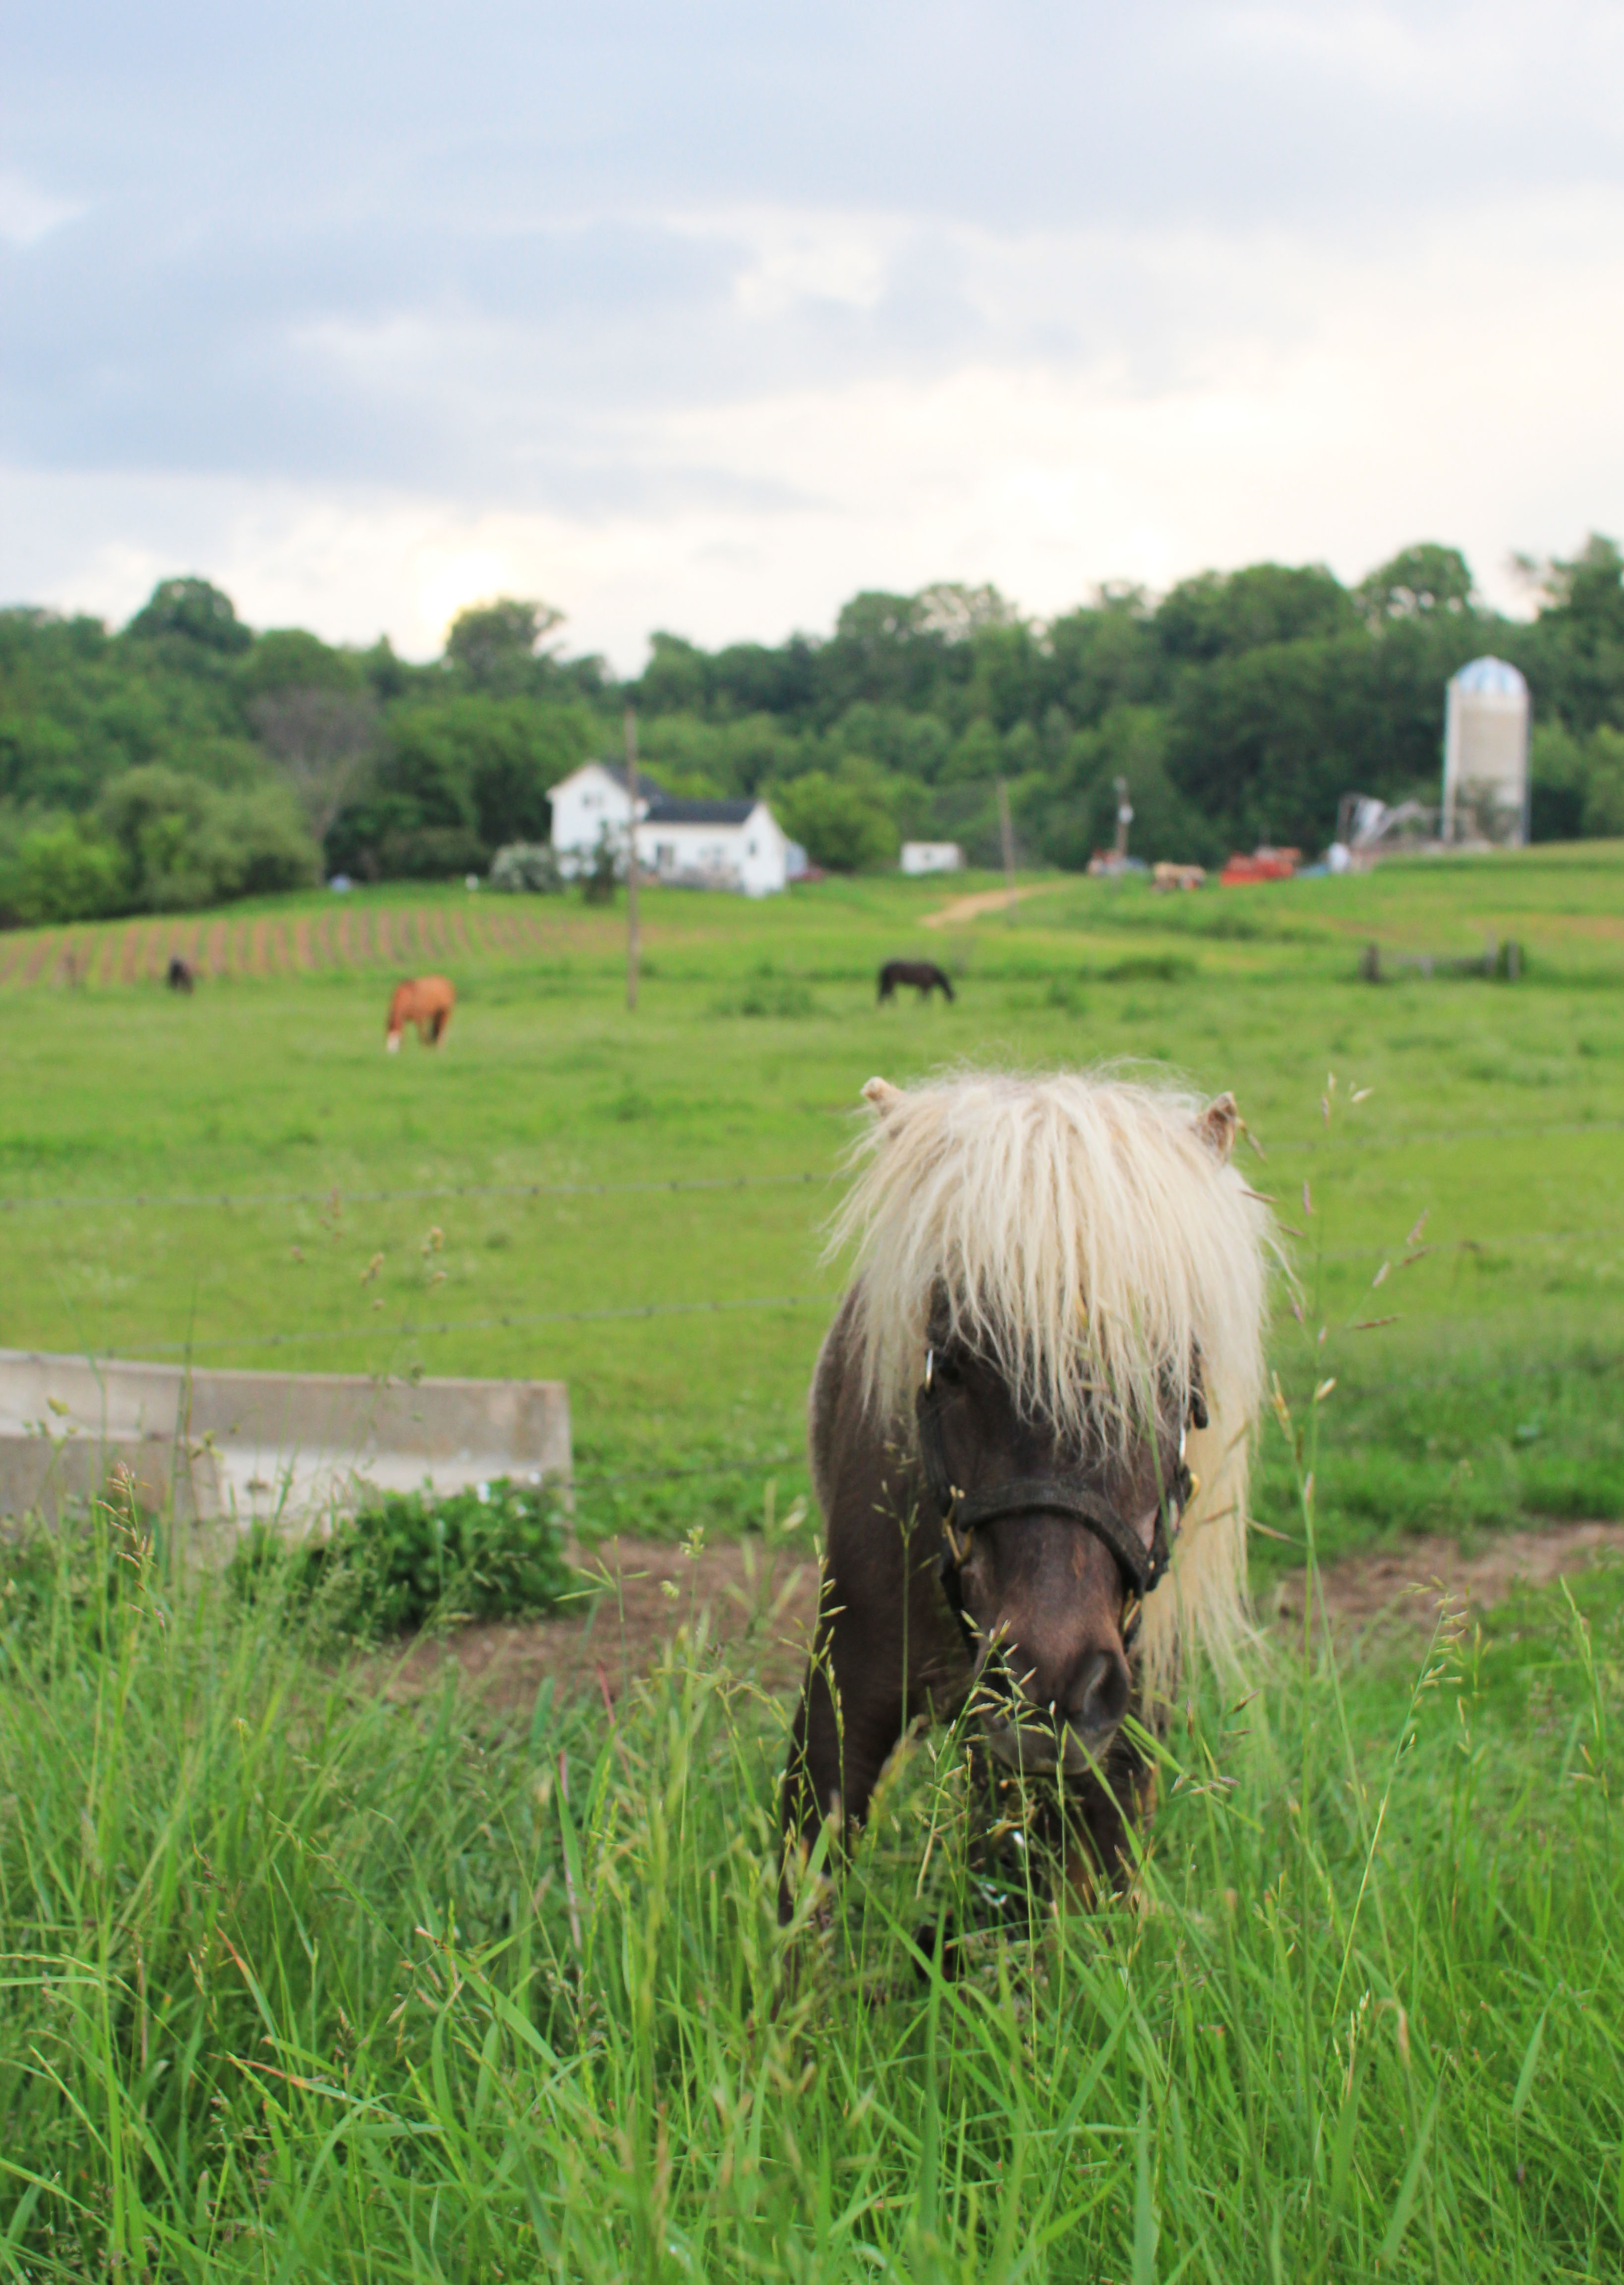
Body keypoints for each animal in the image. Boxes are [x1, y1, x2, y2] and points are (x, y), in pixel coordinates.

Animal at [384, 982, 454, 1051]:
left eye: (397, 1043)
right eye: (387, 1039)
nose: (390, 1052)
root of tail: (446, 983)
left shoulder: (420, 1017)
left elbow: (422, 1035)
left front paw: (425, 1048)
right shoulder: (403, 1019)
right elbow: (404, 1033)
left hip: (446, 1013)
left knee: (443, 1030)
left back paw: (440, 1048)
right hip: (437, 1015)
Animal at [881, 960, 959, 1005]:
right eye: (951, 997)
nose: (950, 1006)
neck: (933, 973)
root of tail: (888, 966)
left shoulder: (924, 986)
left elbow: (923, 996)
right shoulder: (925, 986)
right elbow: (925, 996)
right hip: (892, 982)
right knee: (890, 992)